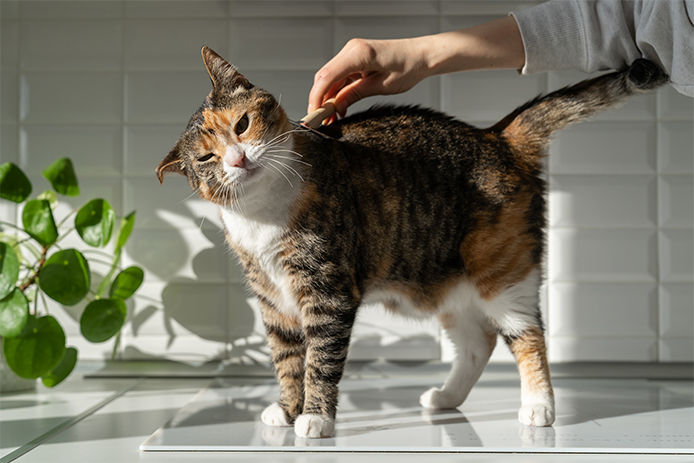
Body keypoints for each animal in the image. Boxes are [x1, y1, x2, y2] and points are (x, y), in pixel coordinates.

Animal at [156, 47, 668, 438]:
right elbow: (287, 360)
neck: (262, 216)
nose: (238, 160)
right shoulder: (273, 303)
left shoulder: (327, 292)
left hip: (502, 272)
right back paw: (446, 397)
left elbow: (320, 359)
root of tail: (496, 137)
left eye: (241, 125)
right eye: (206, 158)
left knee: (528, 335)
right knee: (478, 342)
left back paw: (539, 407)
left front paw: (316, 418)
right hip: (446, 283)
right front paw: (286, 409)